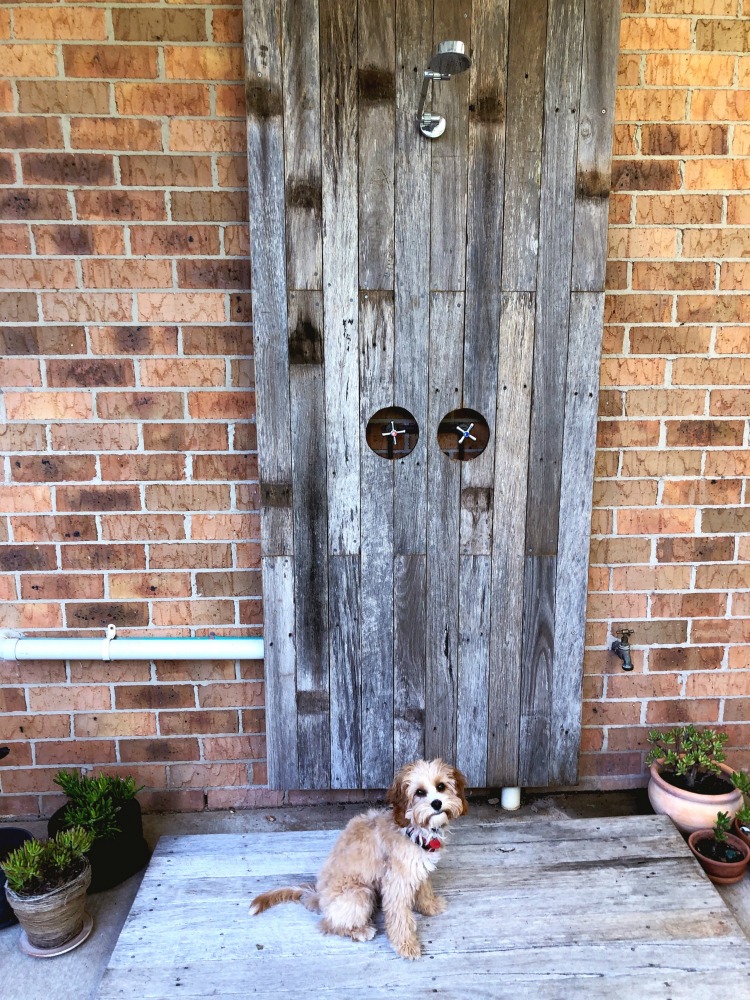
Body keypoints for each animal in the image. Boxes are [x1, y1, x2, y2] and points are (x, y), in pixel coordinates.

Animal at [250, 756, 468, 960]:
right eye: (419, 792)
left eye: (441, 786)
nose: (437, 803)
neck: (411, 827)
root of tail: (318, 898)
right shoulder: (396, 882)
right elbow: (399, 917)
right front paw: (406, 945)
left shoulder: (418, 870)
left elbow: (424, 890)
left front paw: (430, 906)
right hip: (360, 894)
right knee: (329, 924)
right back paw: (361, 930)